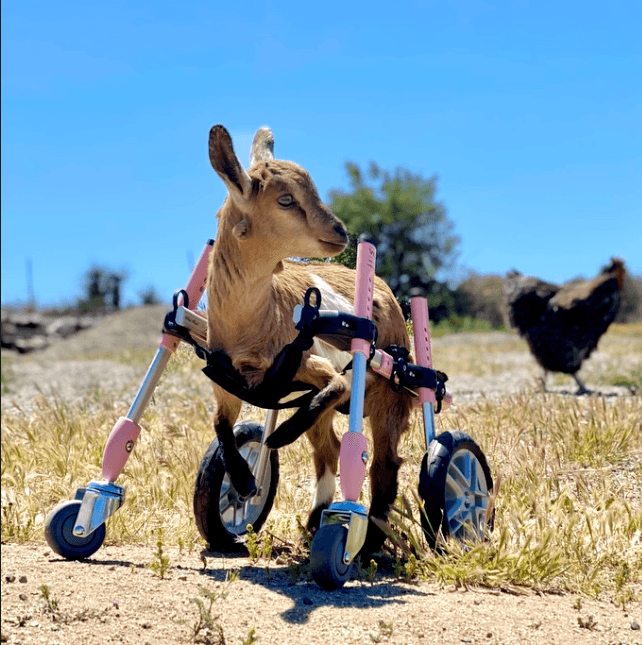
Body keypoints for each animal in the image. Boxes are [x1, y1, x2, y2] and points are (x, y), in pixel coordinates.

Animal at [206, 125, 413, 554]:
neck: (252, 322)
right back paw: (316, 520)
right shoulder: (227, 379)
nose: (340, 232)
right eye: (285, 200)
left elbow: (334, 386)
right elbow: (220, 423)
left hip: (391, 392)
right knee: (329, 450)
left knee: (383, 462)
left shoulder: (309, 361)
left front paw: (281, 435)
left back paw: (370, 540)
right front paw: (244, 480)